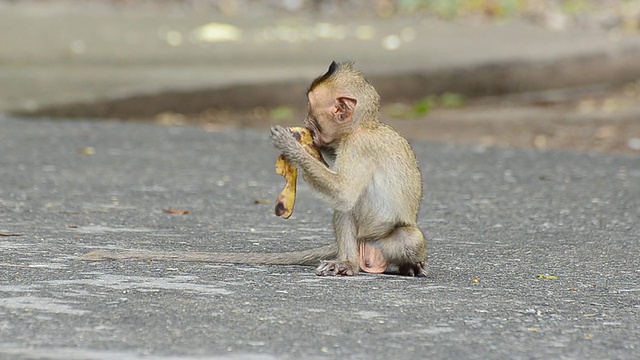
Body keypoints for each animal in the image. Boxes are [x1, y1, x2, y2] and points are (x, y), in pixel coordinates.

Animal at [82, 61, 428, 276]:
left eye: (311, 112)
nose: (306, 126)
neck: (362, 127)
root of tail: (366, 247)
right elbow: (342, 196)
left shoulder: (359, 147)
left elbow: (343, 192)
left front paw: (289, 144)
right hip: (361, 244)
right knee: (343, 213)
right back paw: (350, 263)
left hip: (387, 240)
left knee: (404, 236)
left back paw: (394, 265)